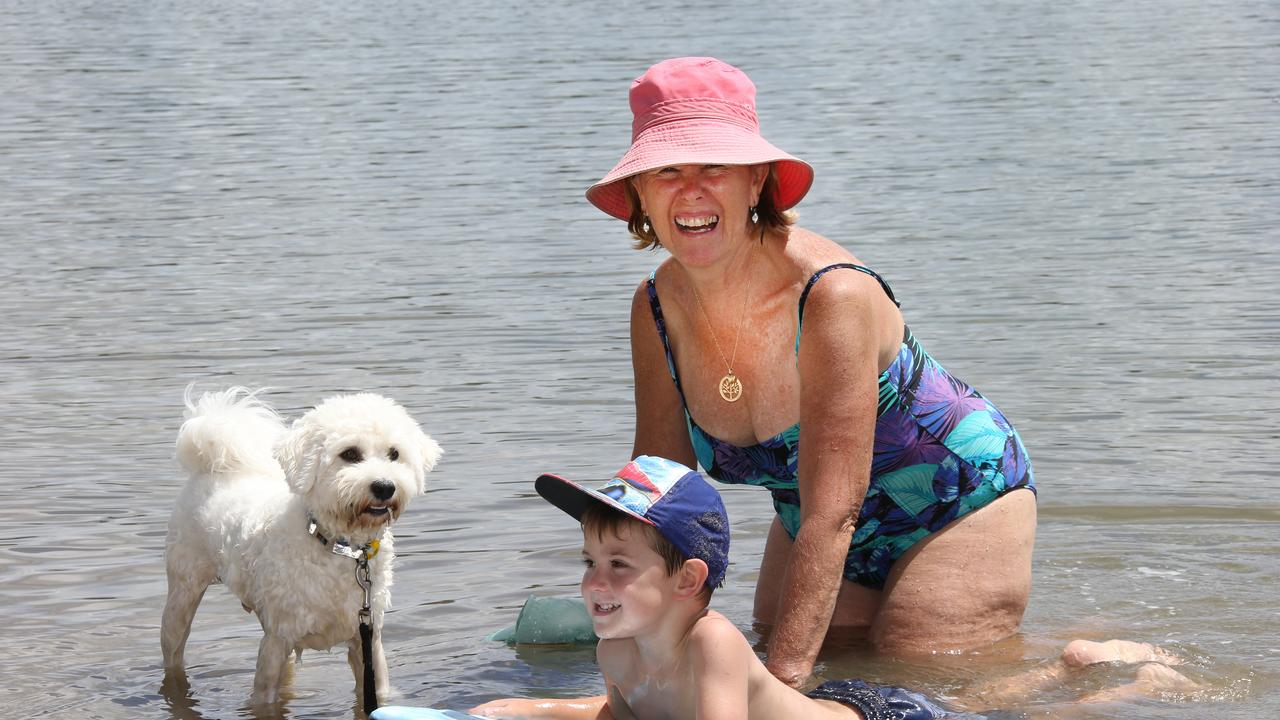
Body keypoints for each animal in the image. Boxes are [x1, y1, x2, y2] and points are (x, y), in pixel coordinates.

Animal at [162, 389, 442, 702]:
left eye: (395, 454)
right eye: (349, 454)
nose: (384, 486)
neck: (339, 548)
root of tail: (213, 464)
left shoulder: (367, 641)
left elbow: (375, 695)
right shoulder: (276, 640)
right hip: (182, 593)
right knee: (173, 648)